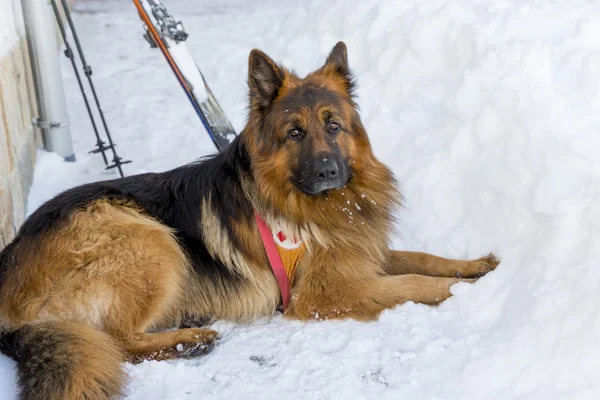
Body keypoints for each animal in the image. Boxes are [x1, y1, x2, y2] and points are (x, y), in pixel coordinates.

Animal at [0, 42, 496, 398]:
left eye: (333, 125)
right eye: (295, 132)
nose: (327, 172)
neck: (307, 203)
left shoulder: (357, 252)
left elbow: (422, 257)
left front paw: (475, 266)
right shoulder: (325, 292)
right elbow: (411, 283)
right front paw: (464, 293)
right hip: (150, 239)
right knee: (114, 340)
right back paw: (190, 339)